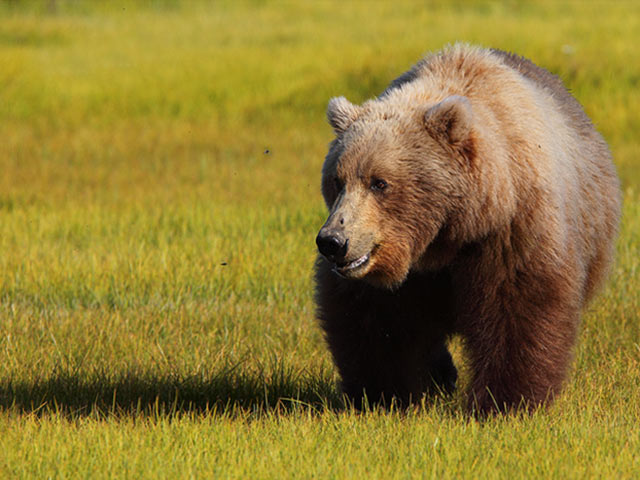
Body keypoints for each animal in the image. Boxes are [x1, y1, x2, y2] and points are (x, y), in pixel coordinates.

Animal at [316, 43, 620, 414]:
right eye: (337, 180)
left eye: (379, 182)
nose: (332, 241)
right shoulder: (392, 266)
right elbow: (375, 320)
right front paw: (383, 394)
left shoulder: (511, 230)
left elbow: (517, 308)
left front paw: (505, 401)